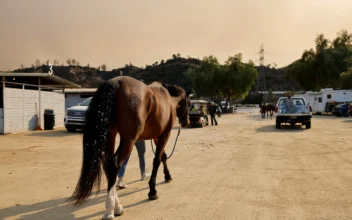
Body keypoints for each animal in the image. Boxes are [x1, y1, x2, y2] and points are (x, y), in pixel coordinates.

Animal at [67, 76, 191, 220]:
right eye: (189, 104)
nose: (187, 122)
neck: (168, 99)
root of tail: (117, 82)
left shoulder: (157, 137)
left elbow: (163, 156)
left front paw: (167, 176)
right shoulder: (165, 135)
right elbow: (157, 160)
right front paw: (152, 191)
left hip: (110, 136)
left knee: (108, 165)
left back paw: (117, 206)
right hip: (128, 140)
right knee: (115, 164)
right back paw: (110, 210)